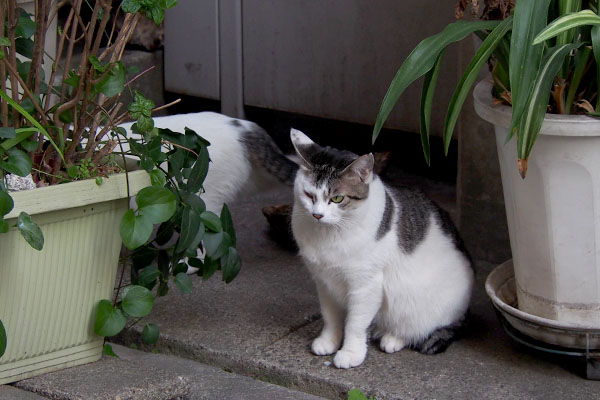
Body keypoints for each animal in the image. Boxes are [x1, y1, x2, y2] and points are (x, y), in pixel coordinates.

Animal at [290, 128, 474, 368]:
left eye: (337, 198)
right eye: (309, 195)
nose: (317, 215)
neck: (329, 235)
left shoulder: (365, 286)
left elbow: (355, 324)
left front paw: (350, 353)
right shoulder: (324, 282)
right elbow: (330, 317)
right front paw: (328, 341)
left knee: (417, 327)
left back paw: (393, 338)